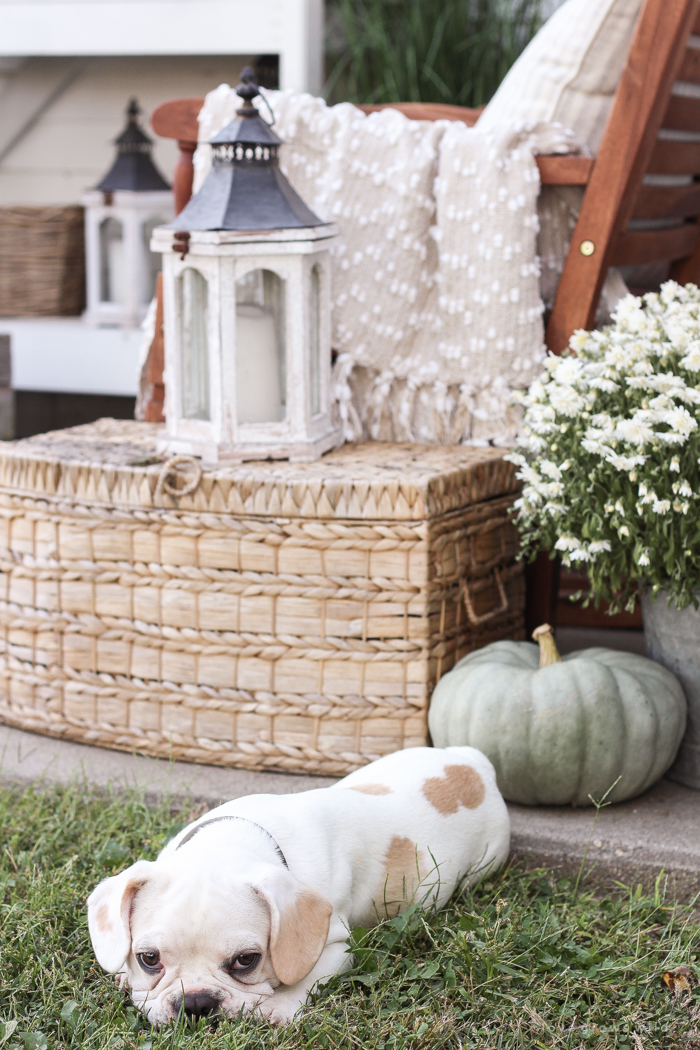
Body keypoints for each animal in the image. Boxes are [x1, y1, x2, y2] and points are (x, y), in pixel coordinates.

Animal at [90, 747, 512, 1024]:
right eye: (149, 959)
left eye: (246, 960)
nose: (195, 1004)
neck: (232, 843)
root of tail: (476, 764)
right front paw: (122, 973)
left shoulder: (337, 946)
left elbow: (303, 980)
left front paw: (275, 1010)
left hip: (486, 860)